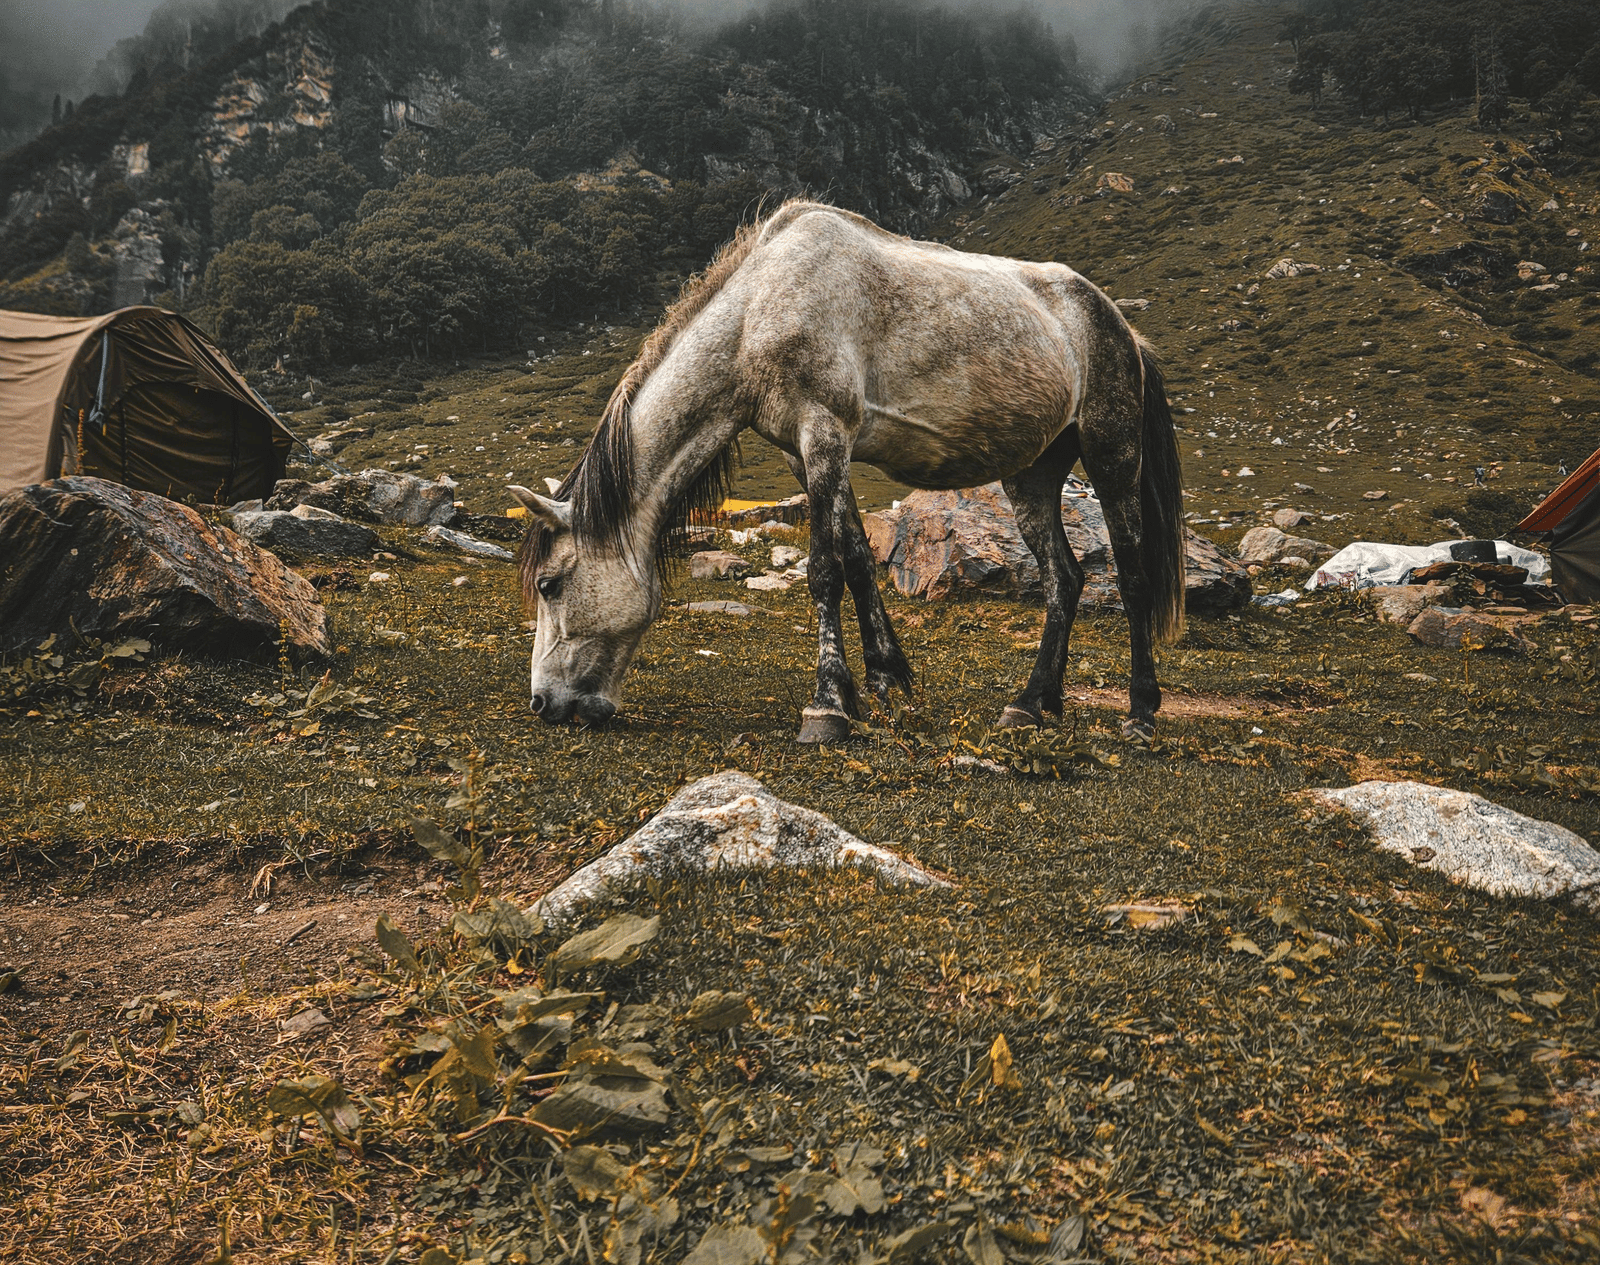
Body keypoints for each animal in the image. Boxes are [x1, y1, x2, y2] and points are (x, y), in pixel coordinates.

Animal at [507, 198, 1185, 743]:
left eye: (549, 584)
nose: (545, 704)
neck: (760, 309)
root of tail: (1123, 328)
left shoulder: (825, 432)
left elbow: (824, 571)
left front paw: (828, 705)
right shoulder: (802, 451)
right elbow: (858, 559)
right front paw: (885, 680)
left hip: (1111, 450)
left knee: (1131, 575)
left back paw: (1140, 713)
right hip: (1034, 473)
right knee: (1063, 580)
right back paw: (1031, 703)